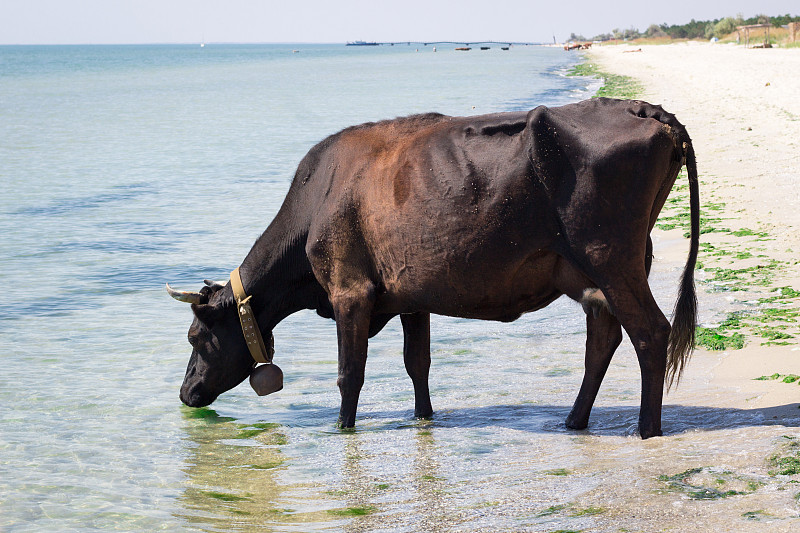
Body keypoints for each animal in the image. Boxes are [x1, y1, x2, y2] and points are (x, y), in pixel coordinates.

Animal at [166, 97, 696, 438]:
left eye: (196, 338)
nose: (186, 392)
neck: (316, 202)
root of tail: (642, 109)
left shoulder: (349, 291)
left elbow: (349, 373)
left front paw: (342, 428)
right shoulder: (409, 295)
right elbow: (416, 363)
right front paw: (423, 418)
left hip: (610, 256)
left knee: (650, 332)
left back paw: (646, 431)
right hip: (598, 271)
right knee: (603, 338)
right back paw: (574, 421)